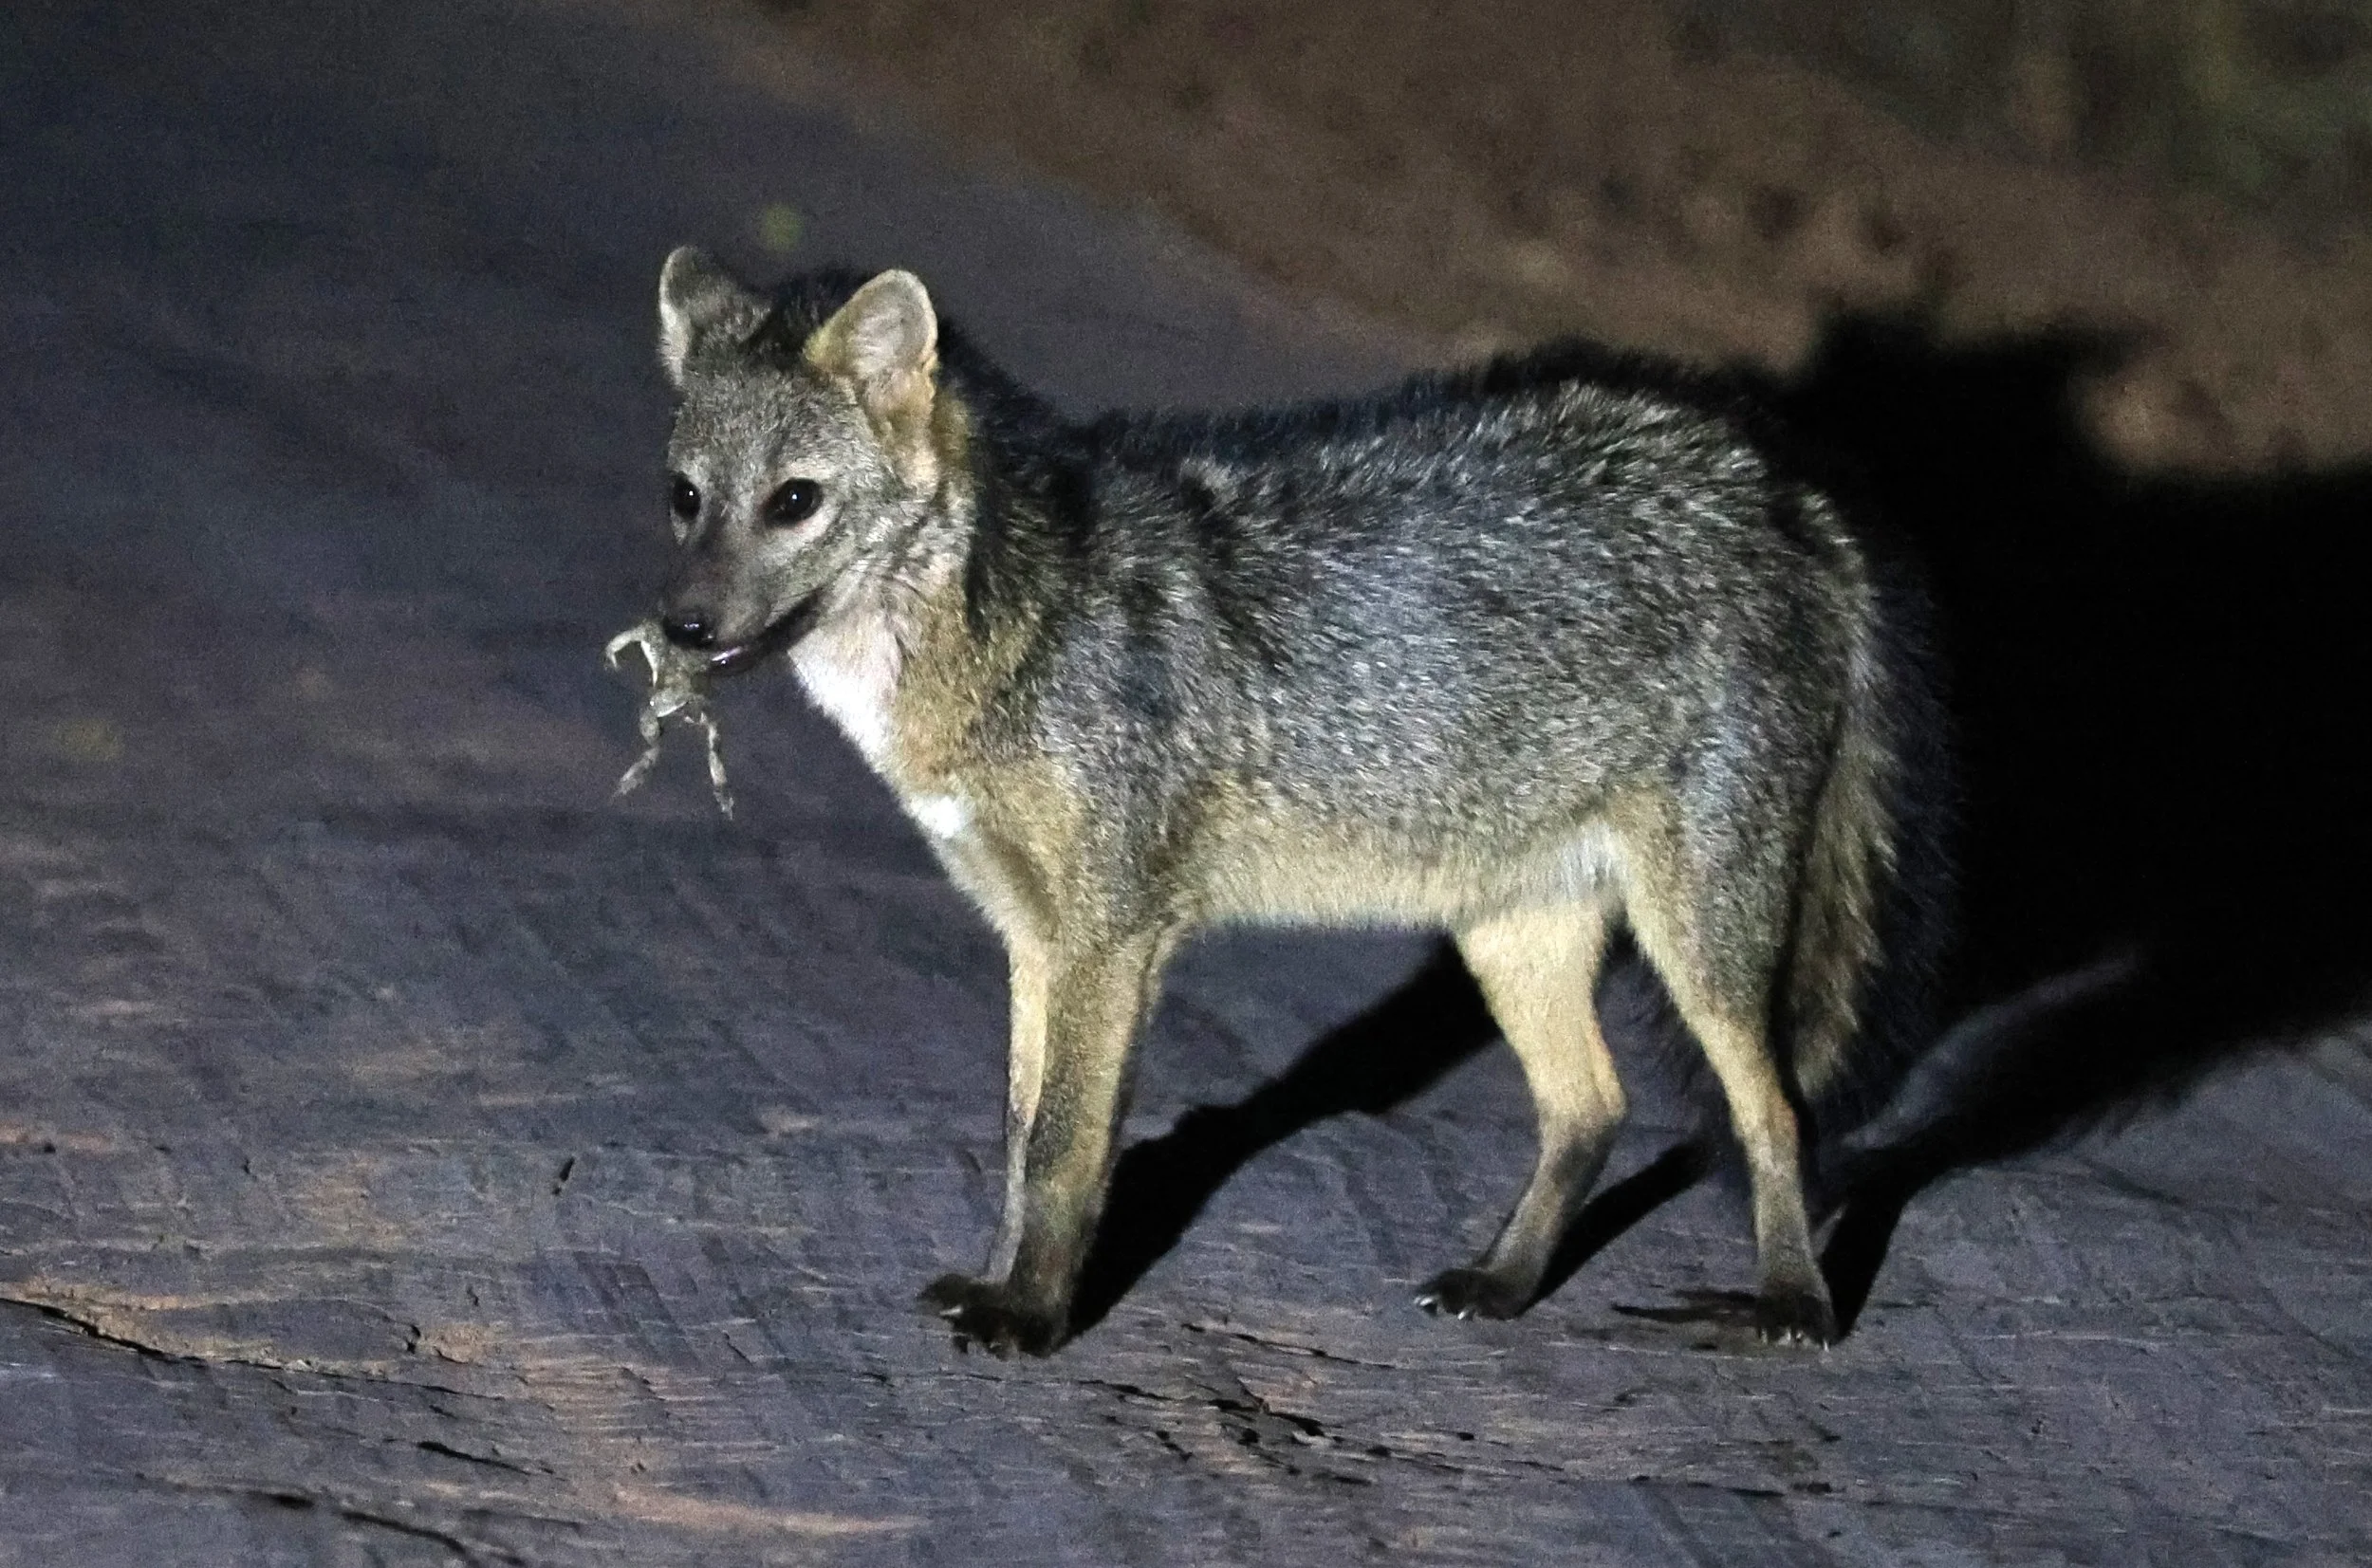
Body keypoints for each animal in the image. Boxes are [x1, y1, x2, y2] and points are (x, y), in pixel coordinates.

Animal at [636, 247, 1953, 1357]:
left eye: (794, 501)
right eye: (686, 497)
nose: (680, 629)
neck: (1009, 627)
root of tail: (1782, 487)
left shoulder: (1112, 937)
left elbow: (1063, 1147)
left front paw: (1031, 1319)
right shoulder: (1032, 937)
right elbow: (1015, 1141)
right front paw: (1003, 1283)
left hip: (1700, 943)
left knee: (1777, 1115)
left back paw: (1791, 1309)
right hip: (1508, 933)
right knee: (1594, 1108)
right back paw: (1502, 1284)